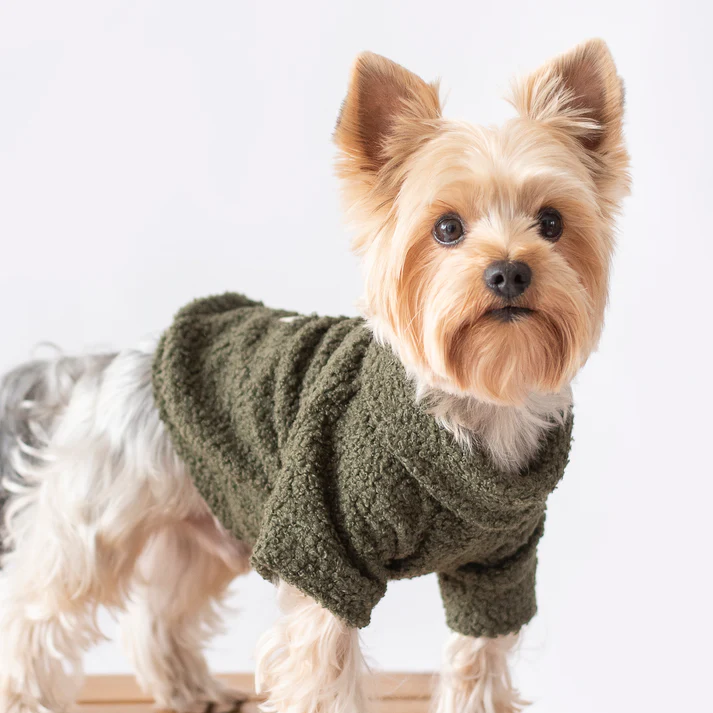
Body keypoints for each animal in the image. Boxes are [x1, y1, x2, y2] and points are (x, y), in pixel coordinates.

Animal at [0, 38, 629, 713]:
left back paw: (192, 690)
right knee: (36, 609)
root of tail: (104, 365)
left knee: (158, 614)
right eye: (447, 229)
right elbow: (321, 668)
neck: (477, 401)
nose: (509, 272)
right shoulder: (319, 542)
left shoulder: (498, 569)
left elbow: (478, 659)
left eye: (552, 222)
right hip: (99, 517)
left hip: (208, 519)